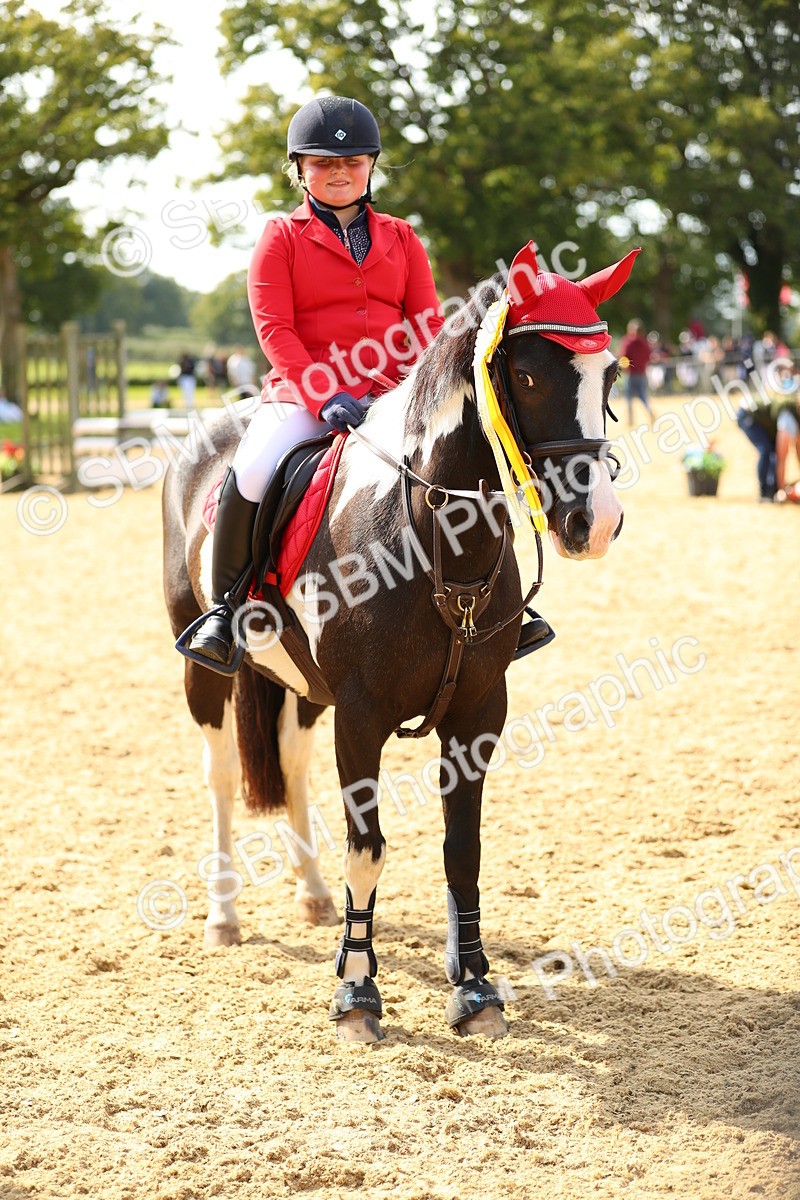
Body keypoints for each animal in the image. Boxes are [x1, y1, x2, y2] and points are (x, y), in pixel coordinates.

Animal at [161, 242, 638, 1043]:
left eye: (611, 375)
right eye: (530, 375)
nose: (594, 524)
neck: (430, 539)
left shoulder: (477, 714)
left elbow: (461, 850)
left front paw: (474, 986)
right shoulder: (360, 718)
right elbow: (369, 850)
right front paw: (357, 992)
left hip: (306, 689)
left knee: (290, 764)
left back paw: (313, 896)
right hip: (207, 672)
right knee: (222, 774)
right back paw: (224, 916)